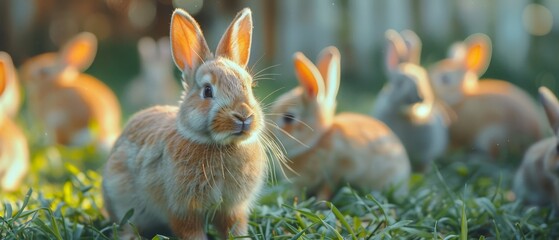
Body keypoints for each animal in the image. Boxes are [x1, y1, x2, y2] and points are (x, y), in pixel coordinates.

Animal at [103, 7, 278, 240]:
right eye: (207, 91)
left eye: (249, 86)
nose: (243, 116)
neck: (220, 145)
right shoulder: (183, 210)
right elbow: (190, 230)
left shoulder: (233, 209)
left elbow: (235, 228)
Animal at [270, 46, 412, 200]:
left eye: (288, 117)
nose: (268, 134)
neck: (316, 141)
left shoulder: (336, 171)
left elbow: (327, 188)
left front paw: (320, 202)